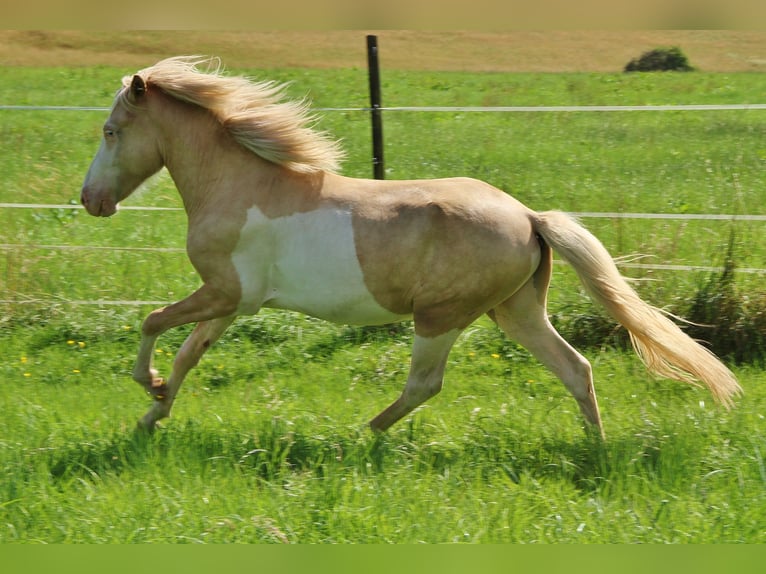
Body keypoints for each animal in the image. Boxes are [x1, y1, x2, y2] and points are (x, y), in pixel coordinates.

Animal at [79, 57, 744, 436]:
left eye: (111, 131)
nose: (90, 200)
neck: (239, 185)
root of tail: (529, 217)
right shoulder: (233, 302)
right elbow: (190, 354)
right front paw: (152, 414)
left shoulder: (222, 290)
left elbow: (152, 321)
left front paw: (148, 386)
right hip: (516, 312)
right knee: (574, 369)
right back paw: (596, 452)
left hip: (442, 316)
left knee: (427, 383)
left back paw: (364, 434)